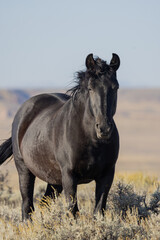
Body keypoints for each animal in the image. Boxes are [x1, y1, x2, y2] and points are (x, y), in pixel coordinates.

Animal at [0, 53, 120, 220]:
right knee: (27, 207)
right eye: (90, 88)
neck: (92, 142)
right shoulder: (69, 177)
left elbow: (98, 211)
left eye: (115, 88)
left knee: (44, 203)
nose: (104, 129)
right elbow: (73, 211)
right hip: (24, 169)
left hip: (54, 180)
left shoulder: (106, 175)